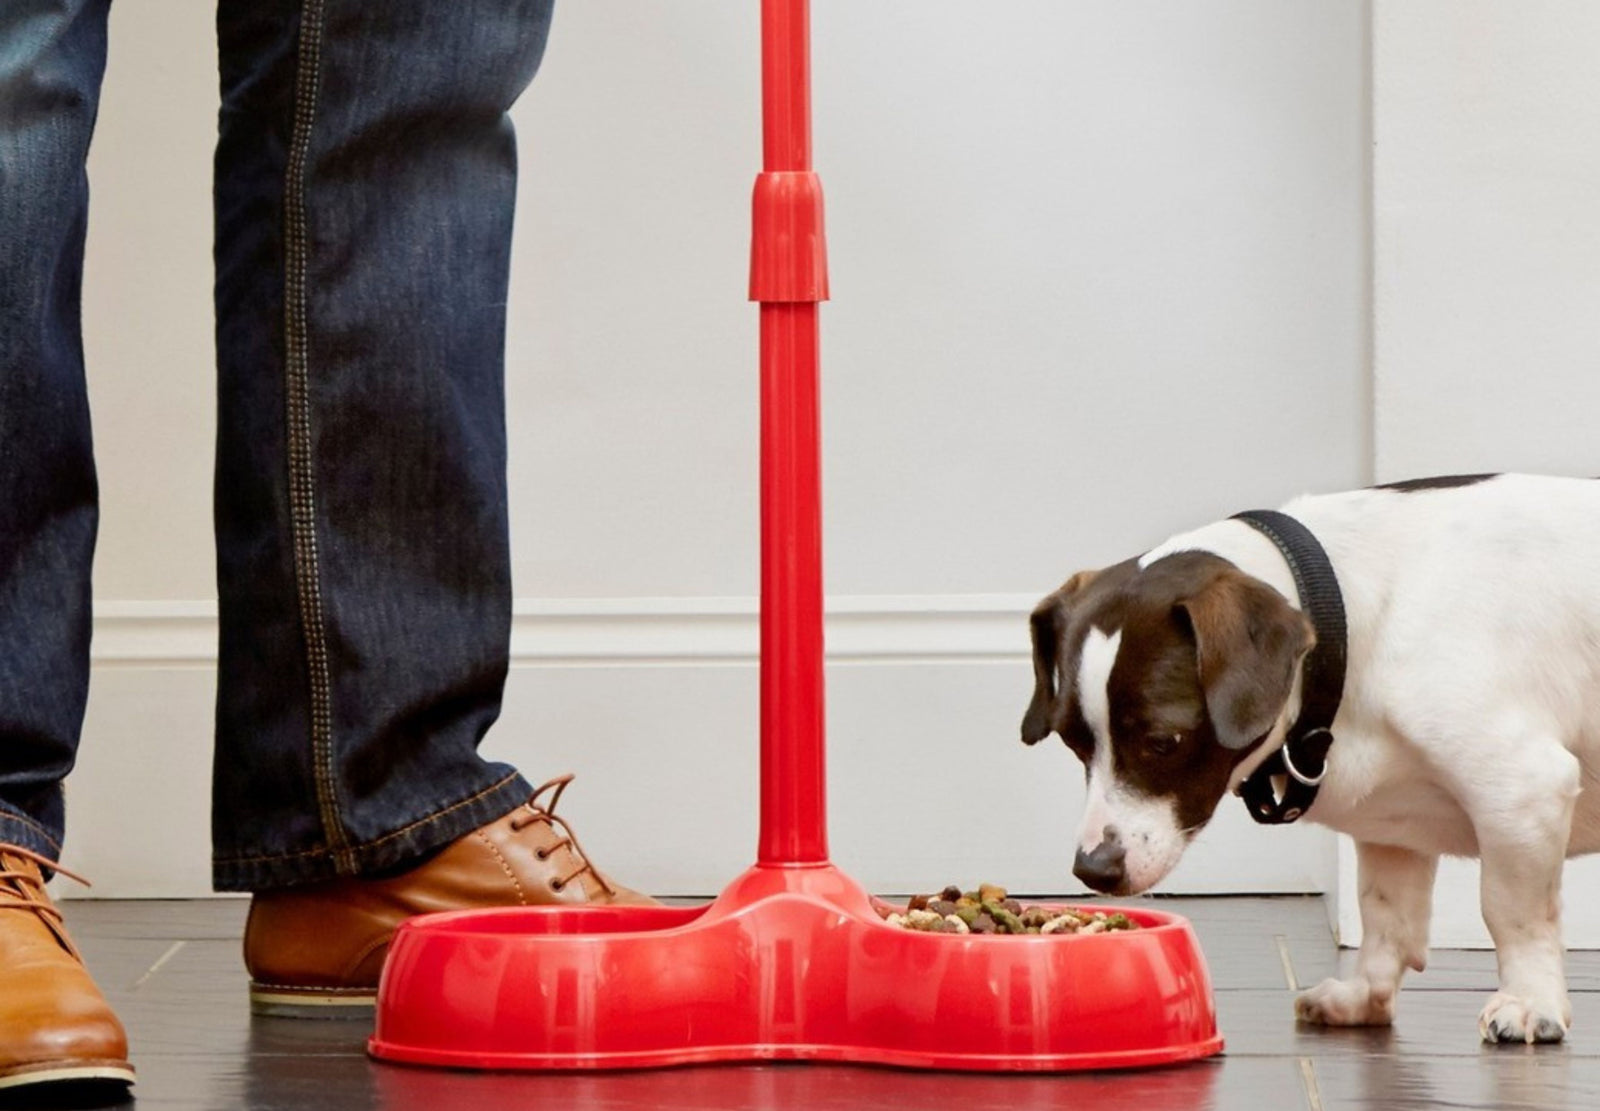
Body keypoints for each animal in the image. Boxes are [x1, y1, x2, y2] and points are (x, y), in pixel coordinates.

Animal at [1024, 477, 1600, 1043]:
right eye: (1074, 743)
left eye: (1163, 741)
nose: (1093, 869)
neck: (1354, 617)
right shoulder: (1393, 832)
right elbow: (1386, 918)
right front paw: (1365, 996)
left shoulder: (1522, 793)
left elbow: (1513, 915)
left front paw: (1530, 1000)